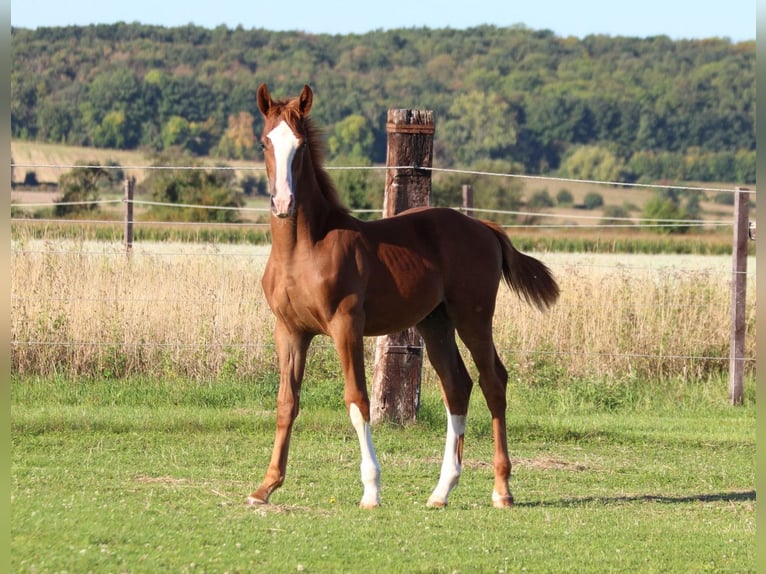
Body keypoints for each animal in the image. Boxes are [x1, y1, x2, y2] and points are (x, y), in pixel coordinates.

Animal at [248, 84, 559, 509]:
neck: (303, 248)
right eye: (265, 142)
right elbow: (285, 402)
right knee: (457, 386)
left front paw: (371, 489)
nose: (283, 203)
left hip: (473, 317)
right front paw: (266, 486)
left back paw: (502, 490)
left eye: (300, 144)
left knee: (493, 381)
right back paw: (442, 491)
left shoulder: (346, 325)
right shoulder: (290, 331)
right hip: (435, 322)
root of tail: (483, 226)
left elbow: (357, 400)